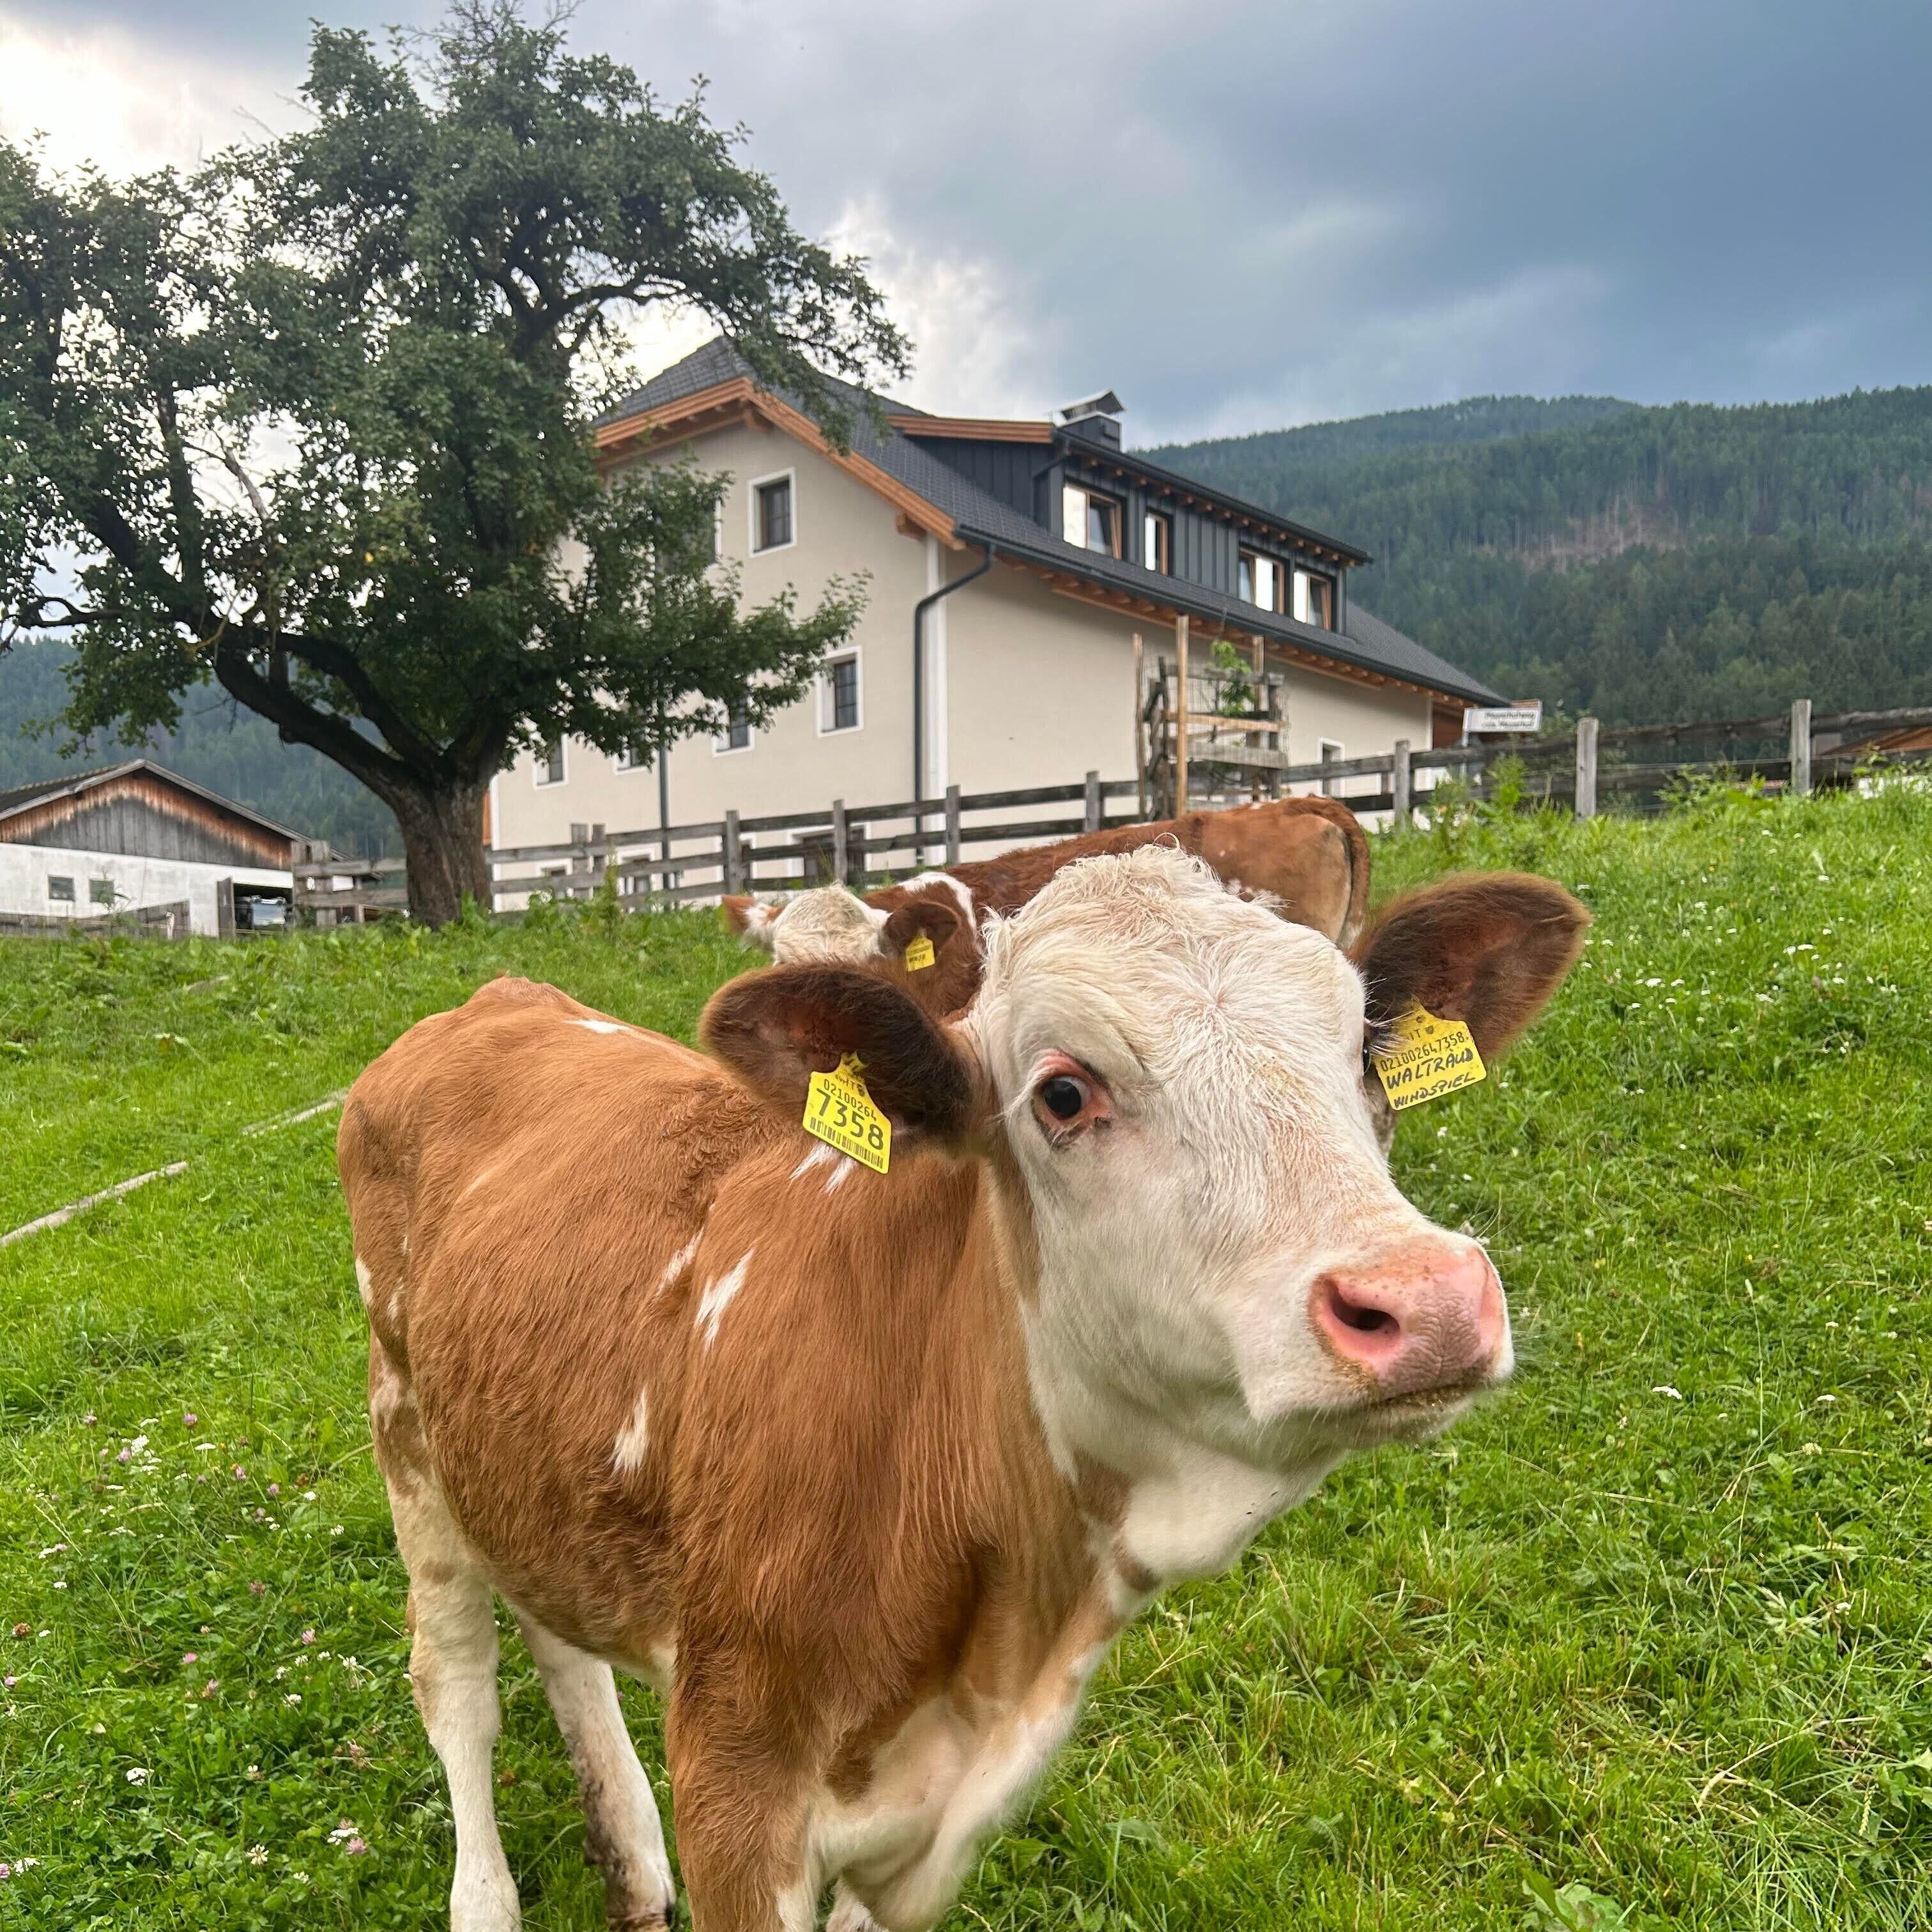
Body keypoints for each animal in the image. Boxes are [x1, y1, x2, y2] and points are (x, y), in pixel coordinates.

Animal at [339, 847, 1587, 1932]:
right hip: (405, 1433)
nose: (1424, 1297)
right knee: (458, 1687)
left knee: (560, 1638)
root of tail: (496, 997)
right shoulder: (735, 1777)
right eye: (1062, 1094)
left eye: (1365, 1056)